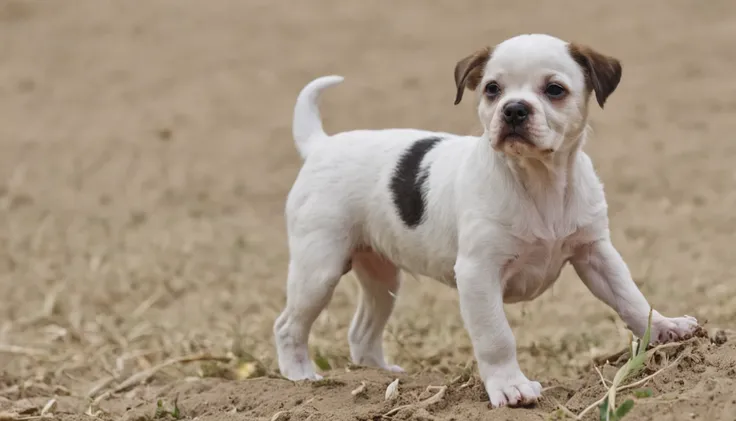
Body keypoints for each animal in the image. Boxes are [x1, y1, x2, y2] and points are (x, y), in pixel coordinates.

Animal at [274, 32, 700, 406]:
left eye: (555, 89)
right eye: (492, 89)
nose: (513, 109)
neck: (539, 181)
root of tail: (322, 145)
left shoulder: (595, 253)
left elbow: (631, 297)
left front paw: (665, 327)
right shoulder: (479, 274)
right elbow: (497, 337)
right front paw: (511, 387)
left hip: (380, 274)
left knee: (361, 332)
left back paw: (381, 377)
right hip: (319, 268)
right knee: (287, 326)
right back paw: (301, 377)